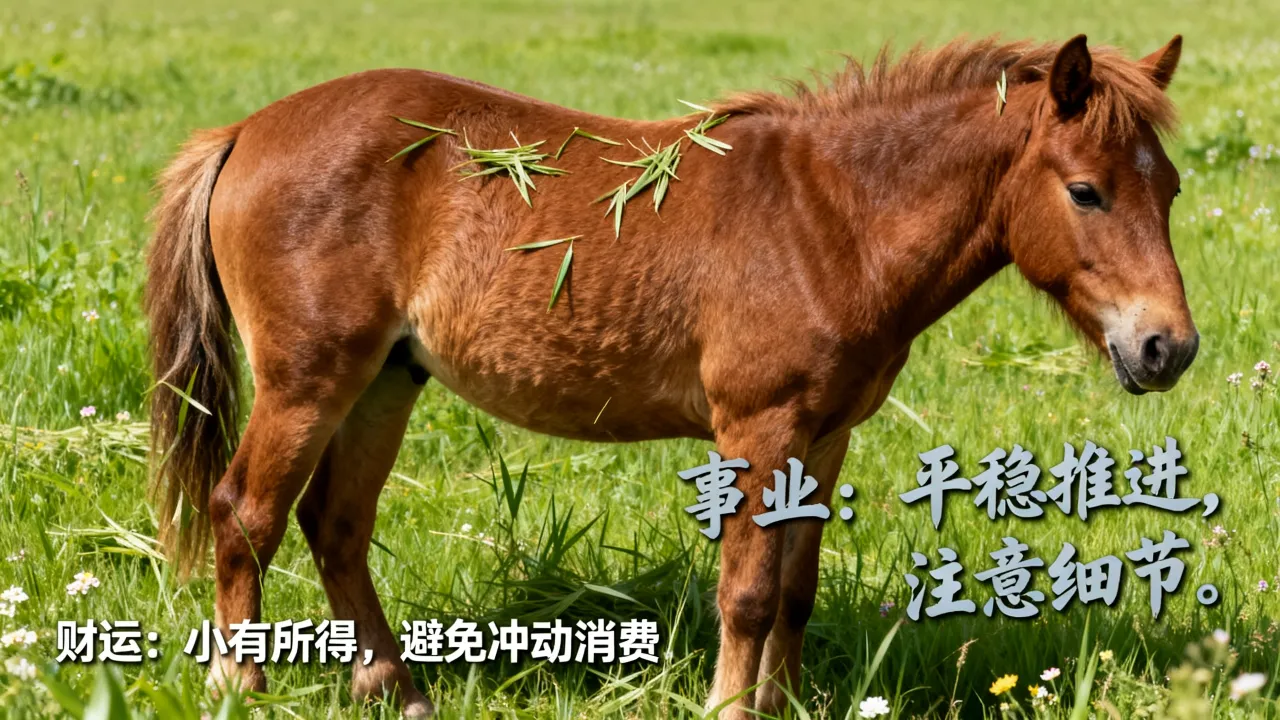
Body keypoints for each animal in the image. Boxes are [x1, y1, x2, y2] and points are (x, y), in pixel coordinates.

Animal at [145, 33, 1195, 718]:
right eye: (1086, 191)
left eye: (1172, 187)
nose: (1168, 349)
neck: (834, 219)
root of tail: (245, 131)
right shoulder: (756, 428)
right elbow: (748, 592)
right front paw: (731, 709)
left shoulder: (825, 435)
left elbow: (795, 587)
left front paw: (782, 707)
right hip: (308, 381)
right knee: (246, 512)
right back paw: (239, 684)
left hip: (386, 381)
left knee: (335, 525)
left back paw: (398, 689)